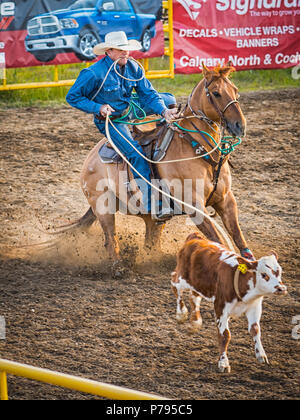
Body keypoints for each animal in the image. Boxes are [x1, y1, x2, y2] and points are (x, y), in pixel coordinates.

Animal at [68, 64, 253, 262]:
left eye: (236, 91)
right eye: (216, 93)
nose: (240, 126)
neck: (196, 148)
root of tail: (90, 159)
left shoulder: (226, 200)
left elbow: (238, 237)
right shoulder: (195, 206)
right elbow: (220, 241)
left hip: (152, 218)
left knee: (151, 243)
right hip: (103, 207)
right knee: (111, 241)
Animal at [170, 233, 288, 374]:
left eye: (279, 271)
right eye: (264, 274)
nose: (281, 288)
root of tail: (195, 237)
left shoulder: (254, 307)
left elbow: (255, 329)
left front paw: (261, 355)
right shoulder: (220, 307)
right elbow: (225, 335)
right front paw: (223, 363)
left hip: (198, 284)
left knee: (194, 297)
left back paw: (195, 321)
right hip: (182, 277)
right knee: (174, 283)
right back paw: (181, 313)